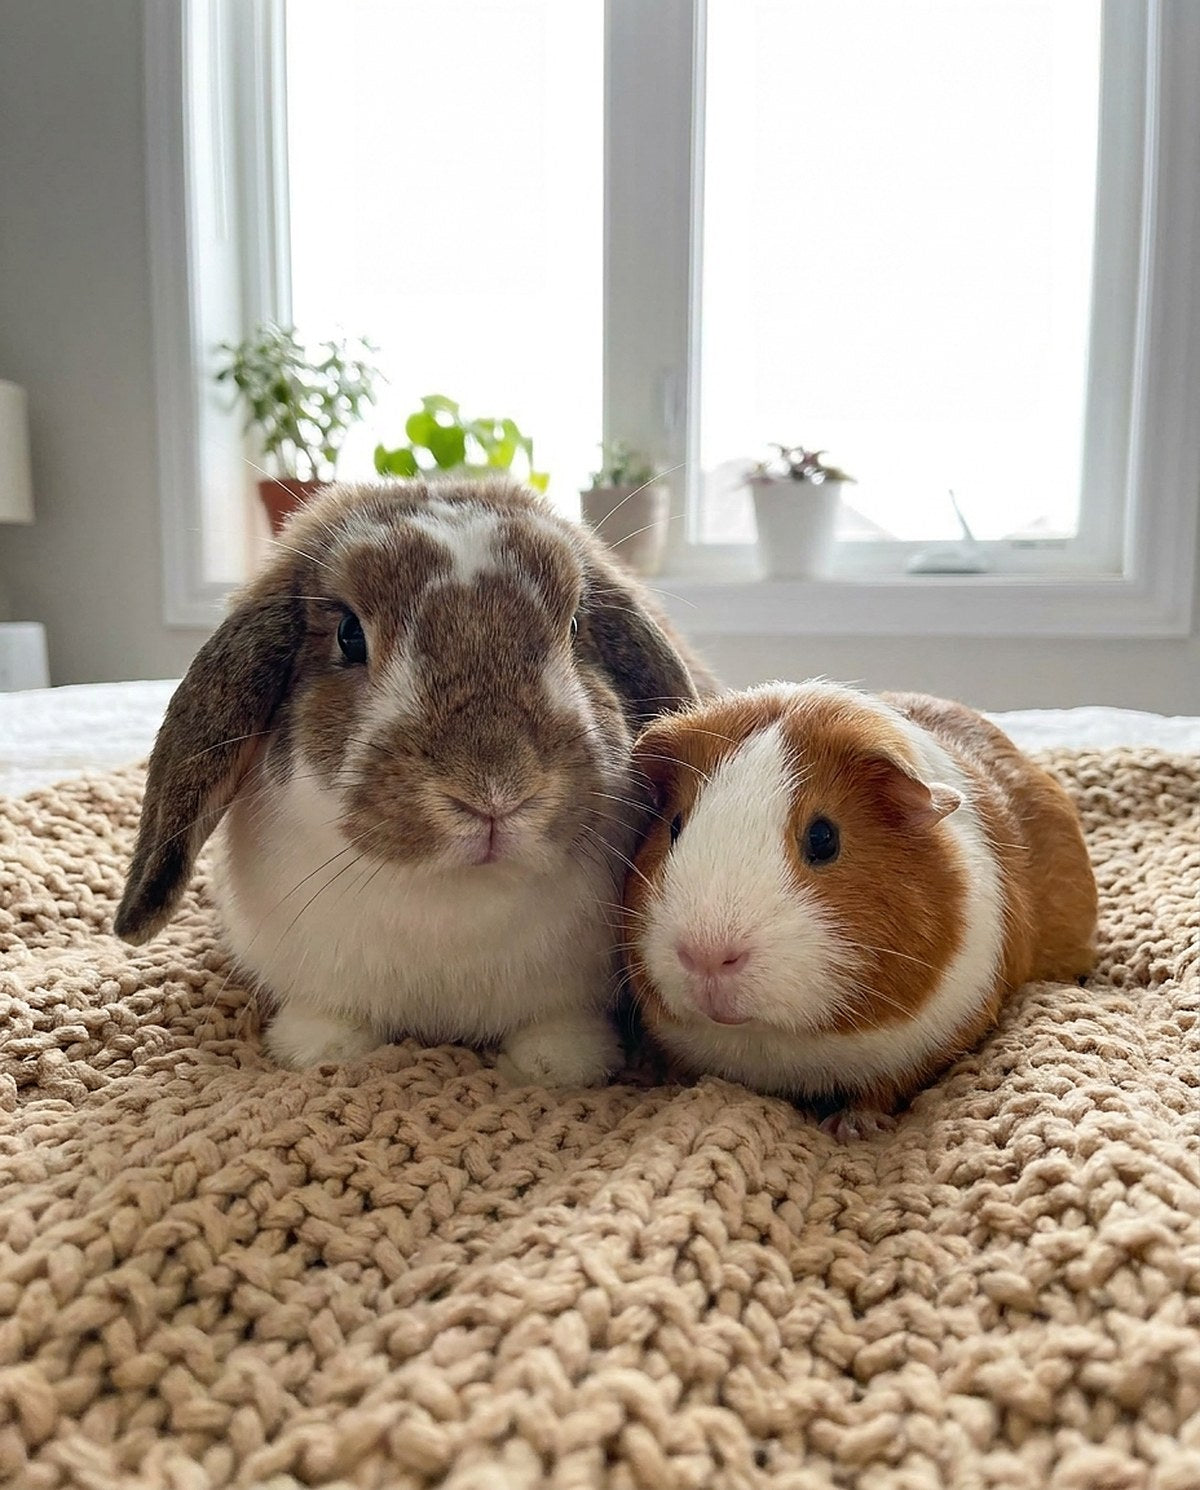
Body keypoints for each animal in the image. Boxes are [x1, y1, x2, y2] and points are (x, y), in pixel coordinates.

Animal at [115, 477, 714, 1085]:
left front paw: (562, 1066)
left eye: (573, 628)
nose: (495, 792)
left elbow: (556, 1025)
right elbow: (330, 1017)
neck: (456, 898)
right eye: (349, 636)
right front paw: (317, 1050)